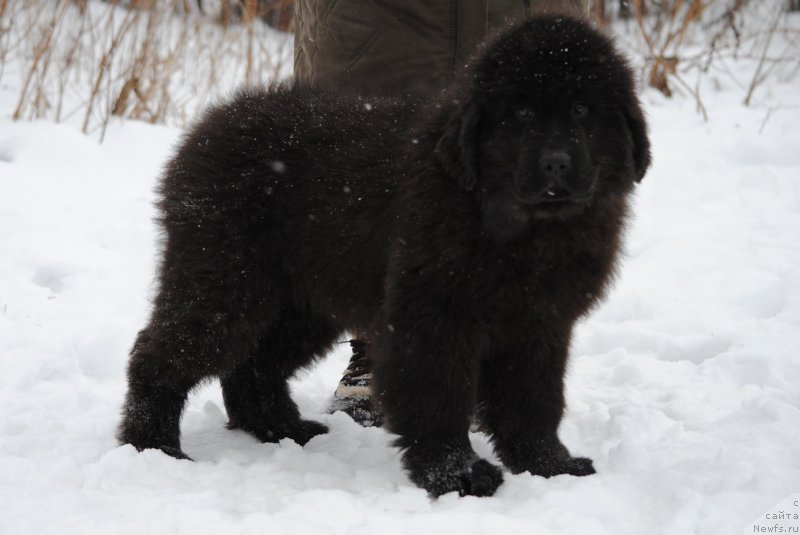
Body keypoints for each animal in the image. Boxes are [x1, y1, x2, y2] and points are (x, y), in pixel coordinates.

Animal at [122, 15, 652, 498]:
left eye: (582, 109)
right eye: (520, 113)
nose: (556, 164)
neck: (520, 227)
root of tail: (209, 125)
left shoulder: (540, 322)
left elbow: (534, 398)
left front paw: (548, 466)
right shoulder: (433, 314)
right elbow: (439, 395)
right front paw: (457, 475)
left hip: (302, 303)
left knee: (253, 365)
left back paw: (282, 430)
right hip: (225, 280)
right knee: (161, 354)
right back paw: (153, 446)